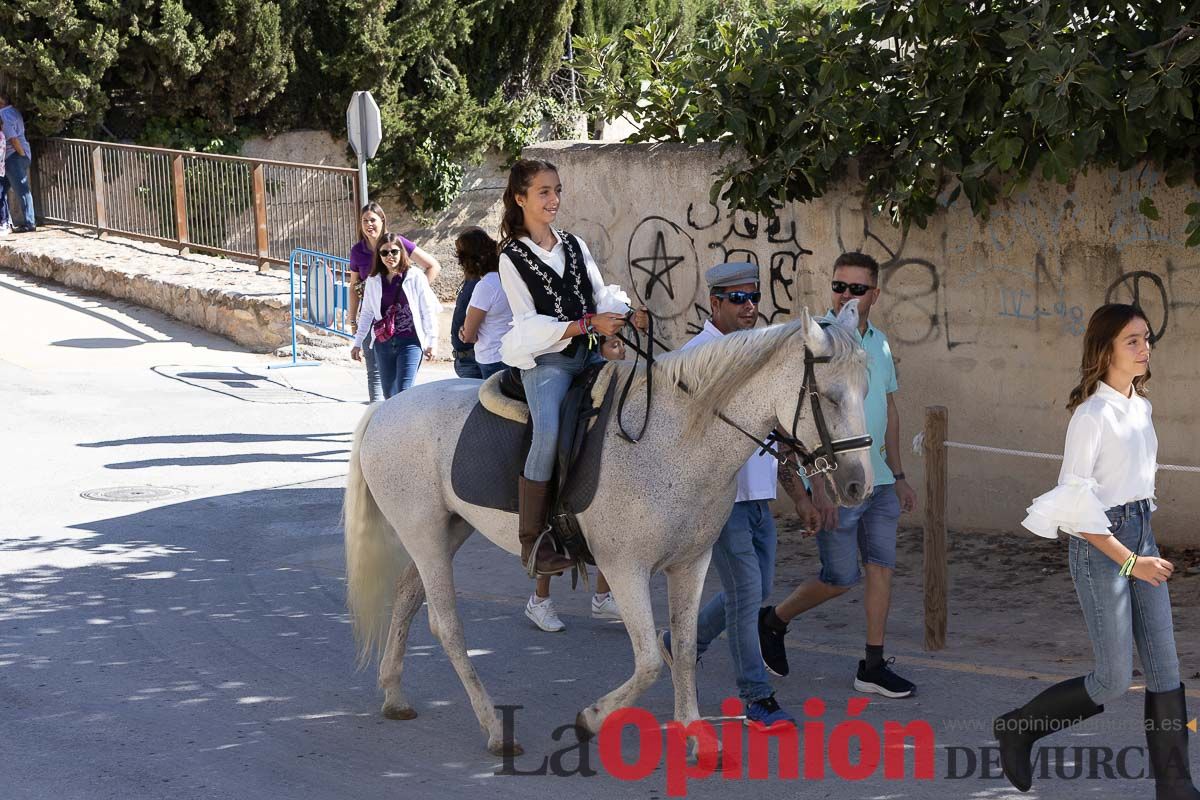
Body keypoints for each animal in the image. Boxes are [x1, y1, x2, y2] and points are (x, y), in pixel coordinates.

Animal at [345, 307, 873, 758]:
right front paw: (591, 718)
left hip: (448, 529)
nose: (858, 485)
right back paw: (494, 728)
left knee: (408, 595)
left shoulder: (692, 563)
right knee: (446, 624)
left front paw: (695, 735)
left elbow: (682, 649)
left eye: (865, 389)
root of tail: (385, 409)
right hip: (424, 534)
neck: (676, 441)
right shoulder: (624, 569)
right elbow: (650, 661)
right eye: (828, 397)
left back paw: (394, 694)